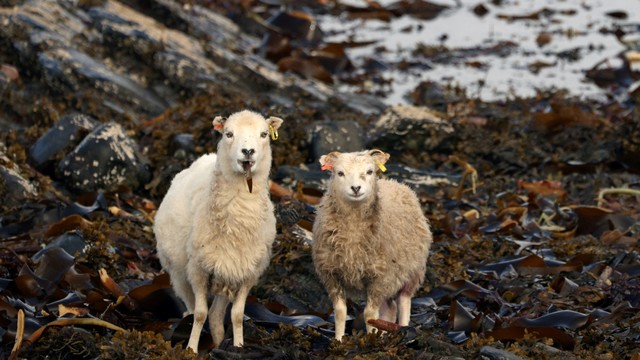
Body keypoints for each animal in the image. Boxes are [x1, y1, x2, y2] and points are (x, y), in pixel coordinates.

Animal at [152, 109, 282, 352]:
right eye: (228, 133)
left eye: (263, 134)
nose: (247, 152)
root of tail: (206, 156)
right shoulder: (198, 270)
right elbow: (200, 314)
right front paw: (192, 349)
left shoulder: (246, 273)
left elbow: (237, 315)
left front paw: (238, 347)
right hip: (180, 273)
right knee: (192, 310)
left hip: (224, 273)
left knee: (216, 314)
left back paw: (219, 343)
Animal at [312, 150, 432, 340]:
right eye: (340, 173)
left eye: (370, 171)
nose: (356, 188)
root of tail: (396, 183)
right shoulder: (331, 275)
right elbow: (340, 312)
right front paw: (338, 340)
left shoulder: (380, 278)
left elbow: (369, 315)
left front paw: (370, 339)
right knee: (390, 308)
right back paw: (384, 333)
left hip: (413, 271)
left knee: (404, 302)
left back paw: (404, 330)